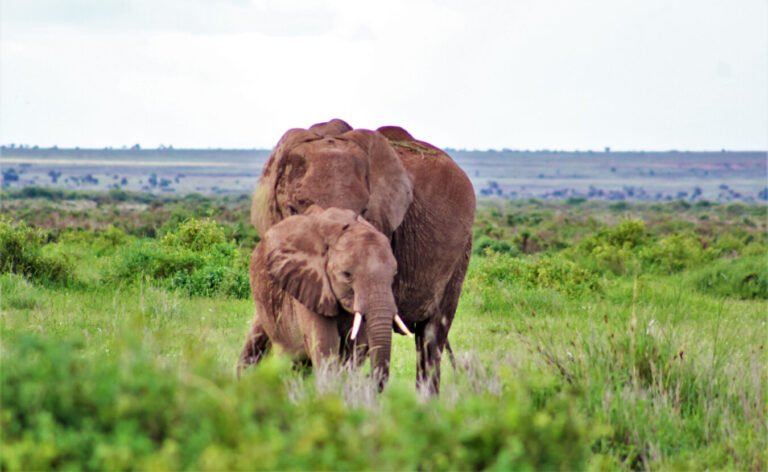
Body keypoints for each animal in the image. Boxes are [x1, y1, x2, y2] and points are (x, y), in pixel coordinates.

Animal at [236, 205, 412, 386]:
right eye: (347, 274)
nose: (368, 377)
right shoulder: (308, 285)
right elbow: (325, 344)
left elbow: (357, 346)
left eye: (394, 275)